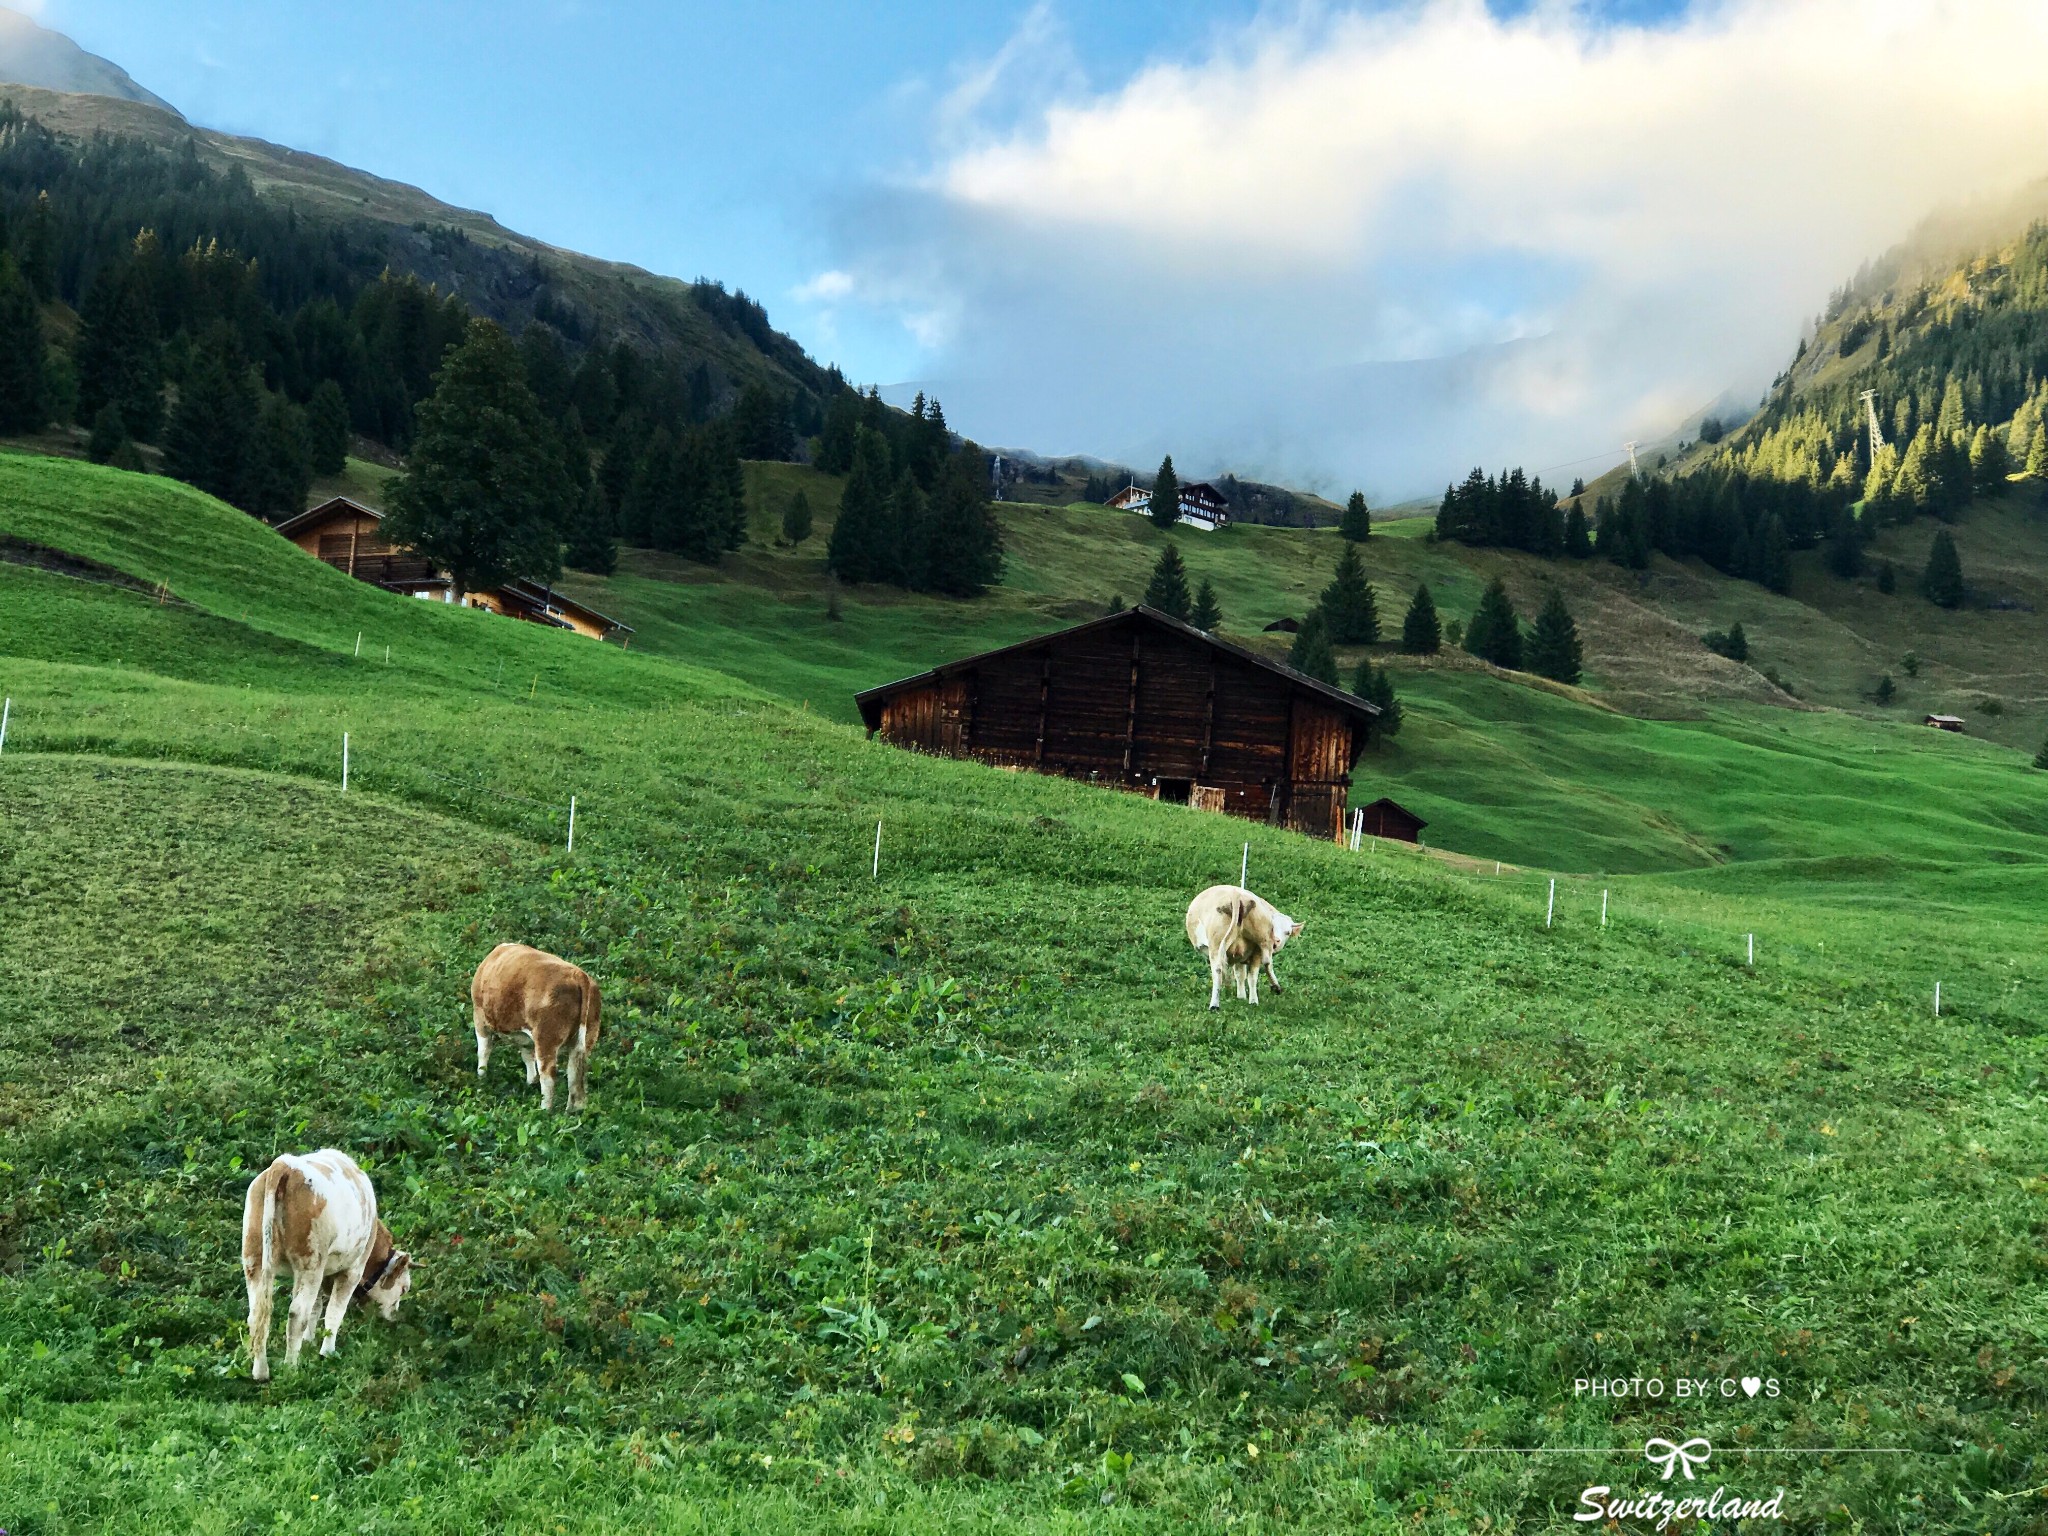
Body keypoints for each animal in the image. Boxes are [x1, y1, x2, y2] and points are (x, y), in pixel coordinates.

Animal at [475, 946, 602, 1114]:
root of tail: (577, 975)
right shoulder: (526, 1038)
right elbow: (527, 1056)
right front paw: (530, 1082)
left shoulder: (479, 1018)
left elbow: (483, 1051)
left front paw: (481, 1078)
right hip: (588, 1036)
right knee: (575, 1071)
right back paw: (572, 1111)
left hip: (546, 1038)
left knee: (549, 1076)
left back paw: (544, 1110)